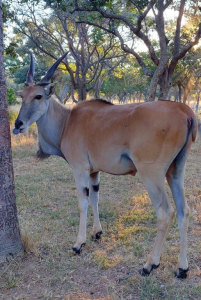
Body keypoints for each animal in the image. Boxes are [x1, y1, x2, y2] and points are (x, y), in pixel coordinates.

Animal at [13, 53, 198, 278]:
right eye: (22, 96)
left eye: (38, 96)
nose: (18, 124)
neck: (67, 121)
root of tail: (185, 111)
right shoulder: (94, 172)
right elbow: (95, 198)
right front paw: (97, 233)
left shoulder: (80, 169)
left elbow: (83, 203)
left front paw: (79, 243)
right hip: (176, 171)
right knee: (183, 210)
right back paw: (182, 268)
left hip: (151, 173)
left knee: (165, 212)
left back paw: (150, 264)